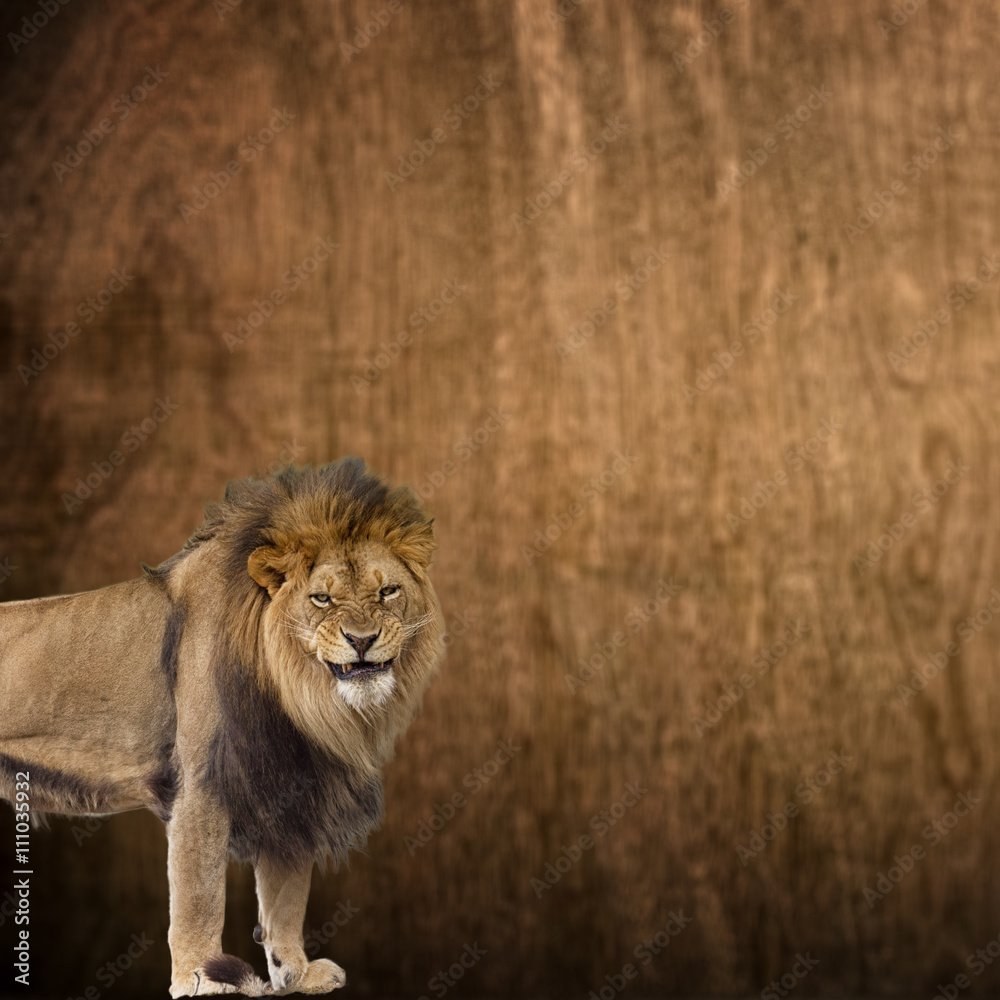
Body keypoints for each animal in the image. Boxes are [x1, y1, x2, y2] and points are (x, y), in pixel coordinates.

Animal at [0, 460, 445, 996]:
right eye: (321, 598)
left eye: (388, 591)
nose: (362, 640)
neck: (302, 696)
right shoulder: (202, 784)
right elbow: (200, 897)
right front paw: (202, 979)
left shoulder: (292, 782)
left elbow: (286, 893)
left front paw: (294, 973)